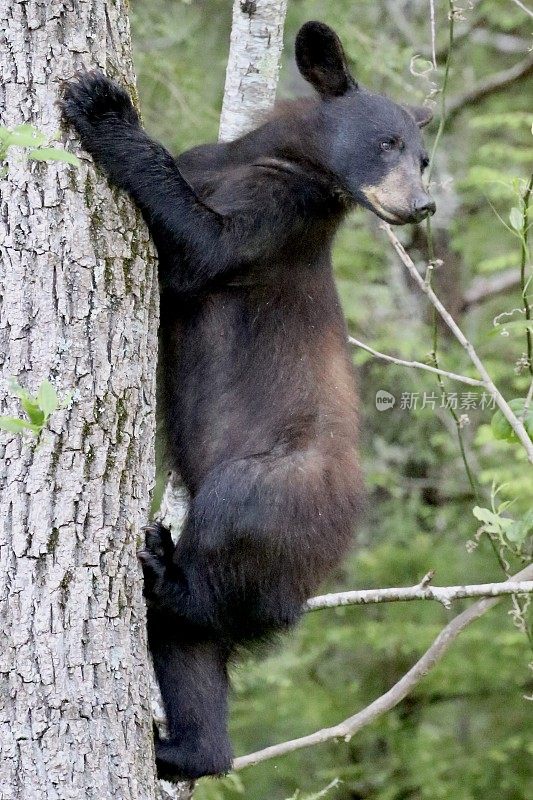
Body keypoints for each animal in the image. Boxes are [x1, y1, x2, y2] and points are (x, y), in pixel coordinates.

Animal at [62, 20, 434, 780]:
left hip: (273, 490)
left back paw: (160, 565)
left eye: (424, 157)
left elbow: (202, 248)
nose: (421, 205)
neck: (269, 158)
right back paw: (184, 749)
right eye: (388, 143)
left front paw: (105, 108)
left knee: (219, 550)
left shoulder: (280, 220)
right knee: (191, 646)